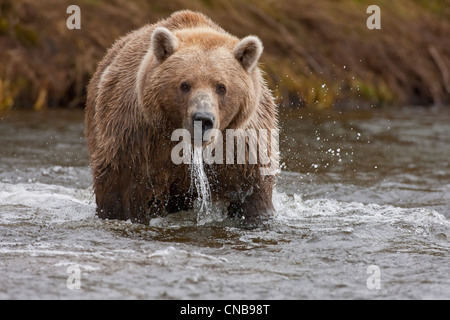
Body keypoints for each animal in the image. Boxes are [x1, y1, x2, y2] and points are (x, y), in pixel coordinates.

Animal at [85, 10, 278, 225]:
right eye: (184, 85)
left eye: (221, 87)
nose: (202, 119)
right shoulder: (135, 140)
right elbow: (121, 191)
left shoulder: (241, 148)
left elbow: (253, 193)